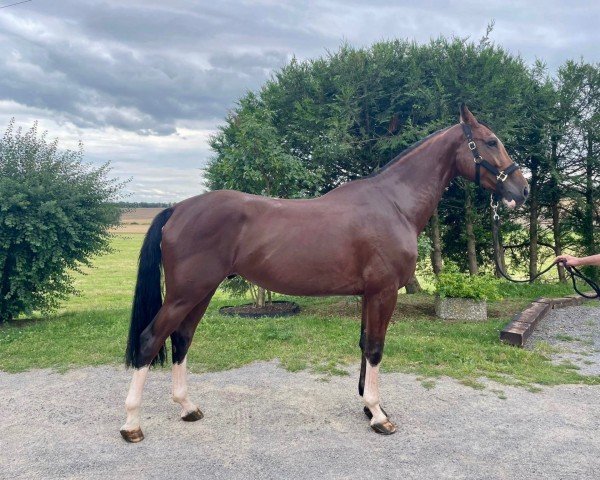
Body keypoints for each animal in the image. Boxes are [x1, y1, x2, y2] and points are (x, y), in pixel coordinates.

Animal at [120, 106, 528, 442]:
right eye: (491, 141)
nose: (521, 189)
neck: (393, 204)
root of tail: (177, 209)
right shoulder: (384, 292)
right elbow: (376, 348)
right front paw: (379, 417)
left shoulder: (369, 294)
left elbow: (364, 345)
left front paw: (368, 408)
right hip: (185, 294)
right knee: (150, 339)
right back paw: (132, 425)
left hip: (200, 293)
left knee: (181, 339)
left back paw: (187, 408)